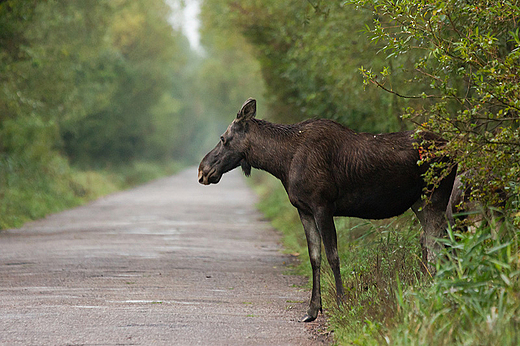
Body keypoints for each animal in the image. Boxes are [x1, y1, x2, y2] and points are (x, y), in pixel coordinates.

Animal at [198, 98, 456, 324]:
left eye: (223, 138)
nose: (202, 170)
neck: (282, 162)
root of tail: (453, 149)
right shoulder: (304, 210)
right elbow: (315, 257)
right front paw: (312, 310)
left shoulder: (323, 206)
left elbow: (333, 256)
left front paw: (341, 305)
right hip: (419, 203)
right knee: (433, 243)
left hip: (436, 196)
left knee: (438, 244)